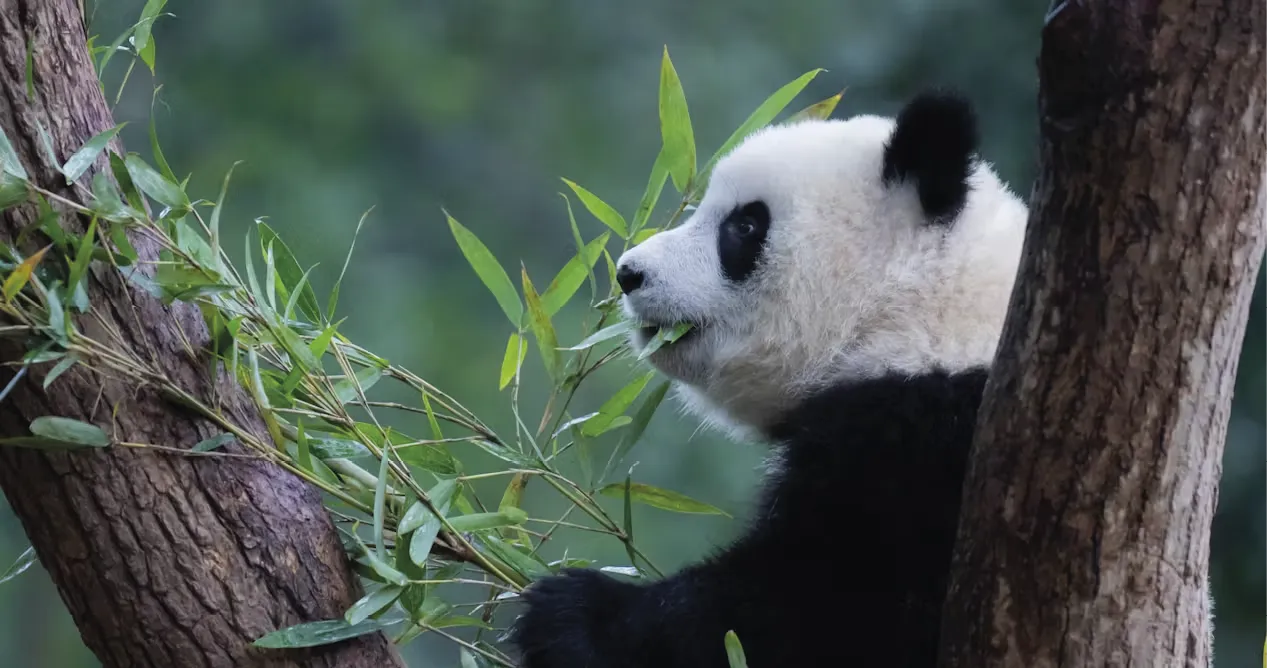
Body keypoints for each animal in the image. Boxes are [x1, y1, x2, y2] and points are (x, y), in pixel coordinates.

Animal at [508, 88, 1028, 667]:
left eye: (745, 225)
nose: (629, 273)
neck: (912, 304)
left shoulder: (924, 437)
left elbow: (823, 605)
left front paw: (575, 612)